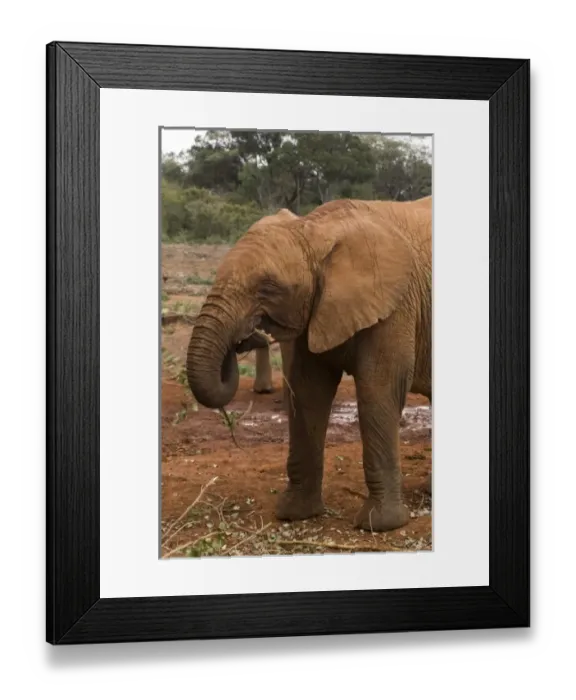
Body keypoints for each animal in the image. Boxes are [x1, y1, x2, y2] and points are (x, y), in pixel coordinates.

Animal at [186, 196, 432, 532]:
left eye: (267, 287)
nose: (247, 338)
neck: (313, 229)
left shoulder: (396, 304)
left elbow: (378, 390)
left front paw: (379, 525)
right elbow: (307, 391)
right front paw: (295, 513)